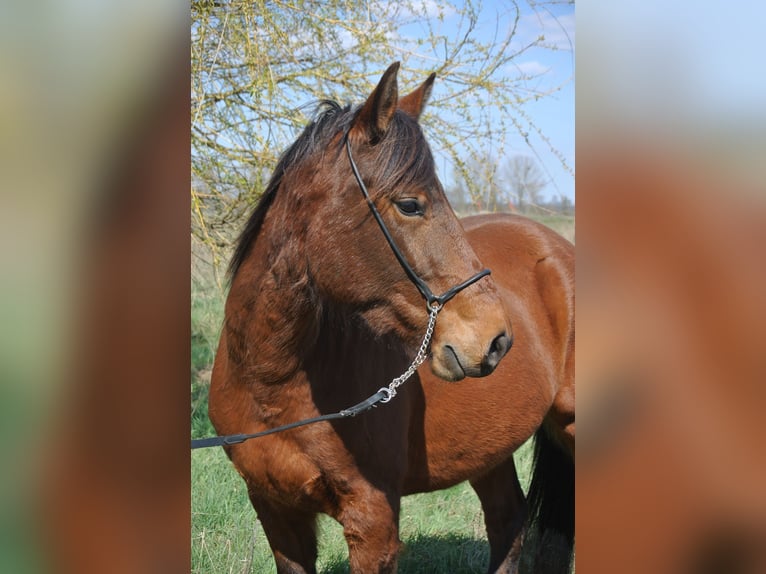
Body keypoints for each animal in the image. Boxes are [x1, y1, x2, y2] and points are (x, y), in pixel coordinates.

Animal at [208, 62, 575, 574]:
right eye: (409, 204)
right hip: (489, 449)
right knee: (509, 520)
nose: (496, 340)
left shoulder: (373, 521)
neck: (272, 384)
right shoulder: (277, 514)